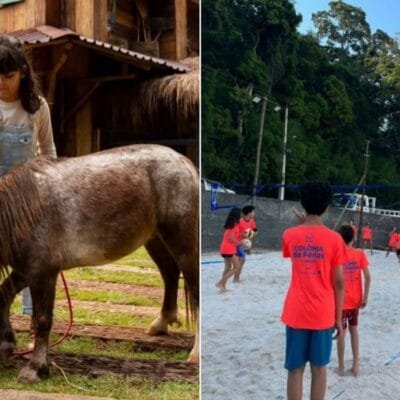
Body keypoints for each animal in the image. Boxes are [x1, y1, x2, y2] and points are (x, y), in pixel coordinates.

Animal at [0, 145, 198, 382]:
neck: (24, 210)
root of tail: (182, 161)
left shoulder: (43, 273)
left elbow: (42, 319)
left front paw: (35, 369)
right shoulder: (26, 271)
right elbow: (3, 296)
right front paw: (6, 344)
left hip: (183, 242)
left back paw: (196, 354)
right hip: (155, 240)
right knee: (169, 273)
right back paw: (160, 324)